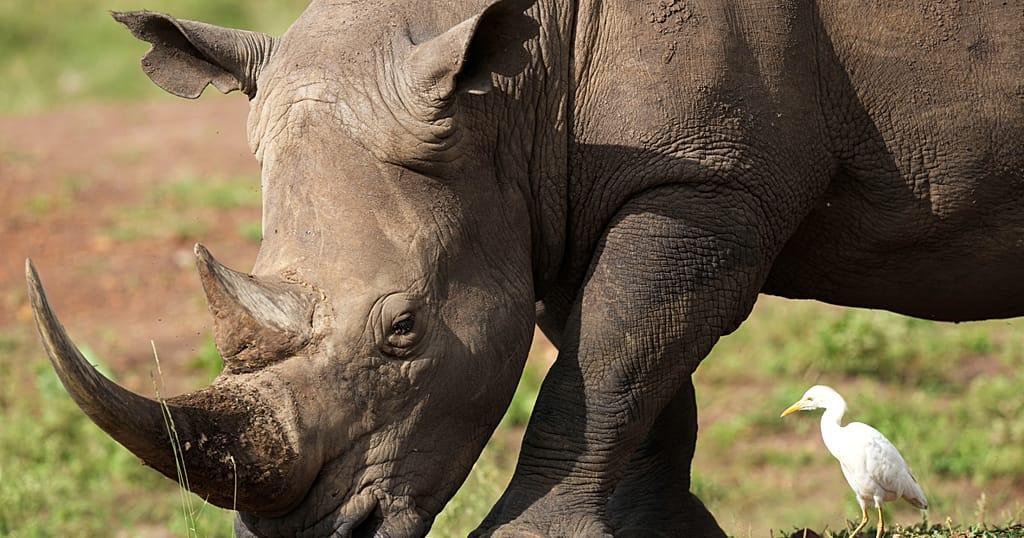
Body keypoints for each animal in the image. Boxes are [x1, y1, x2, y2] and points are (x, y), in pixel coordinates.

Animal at [26, 0, 1023, 535]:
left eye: (404, 331)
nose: (309, 535)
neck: (514, 87)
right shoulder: (553, 188)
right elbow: (632, 365)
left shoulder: (706, 178)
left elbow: (611, 354)